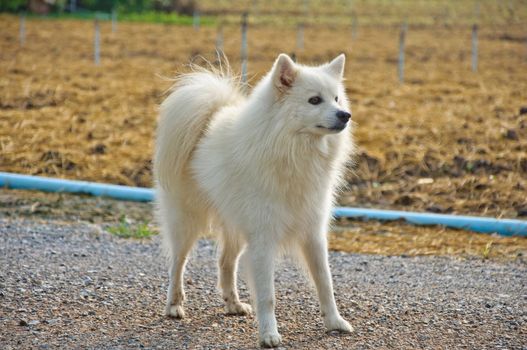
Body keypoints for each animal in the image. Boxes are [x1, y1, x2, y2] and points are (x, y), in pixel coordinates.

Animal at [155, 53, 356, 346]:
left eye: (337, 99)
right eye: (314, 100)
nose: (345, 115)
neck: (291, 151)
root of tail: (207, 120)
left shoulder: (313, 233)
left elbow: (325, 283)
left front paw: (335, 322)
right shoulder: (263, 240)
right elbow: (267, 295)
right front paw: (269, 335)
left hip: (235, 228)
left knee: (225, 263)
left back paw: (233, 304)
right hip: (187, 223)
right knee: (177, 264)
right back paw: (174, 305)